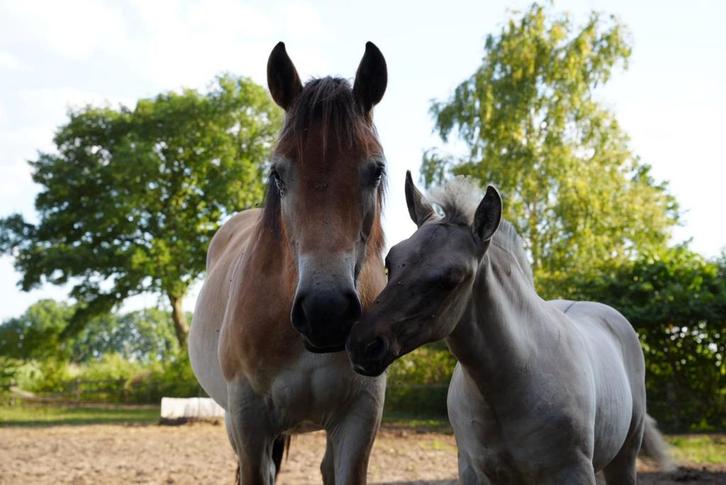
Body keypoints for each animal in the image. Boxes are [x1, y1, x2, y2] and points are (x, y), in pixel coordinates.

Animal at [347, 173, 672, 484]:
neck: (510, 383)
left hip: (625, 458)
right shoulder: (474, 472)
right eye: (391, 262)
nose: (362, 345)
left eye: (451, 279)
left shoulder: (573, 472)